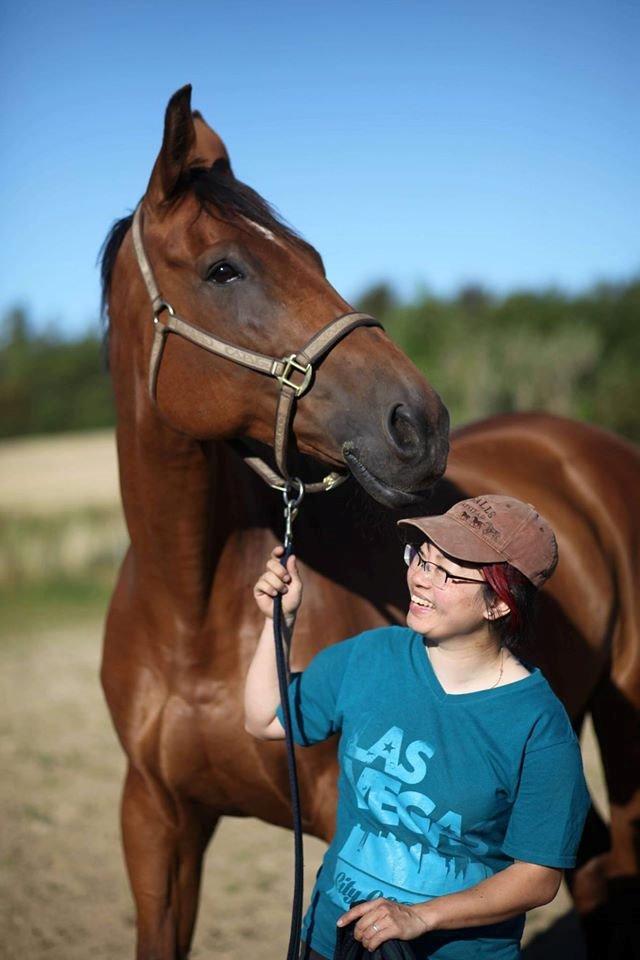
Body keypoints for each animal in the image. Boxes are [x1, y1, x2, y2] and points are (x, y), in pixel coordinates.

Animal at [101, 85, 639, 960]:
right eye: (224, 268)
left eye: (314, 257)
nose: (419, 422)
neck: (194, 613)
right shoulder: (154, 822)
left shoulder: (327, 817)